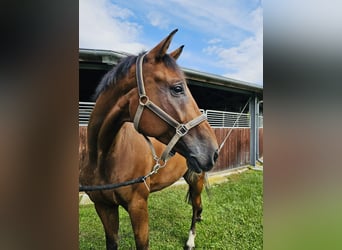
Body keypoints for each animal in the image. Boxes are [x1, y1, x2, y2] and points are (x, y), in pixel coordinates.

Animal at [79, 29, 219, 250]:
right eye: (177, 88)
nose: (213, 151)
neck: (103, 158)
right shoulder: (104, 207)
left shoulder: (138, 206)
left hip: (195, 180)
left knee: (196, 206)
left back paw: (190, 241)